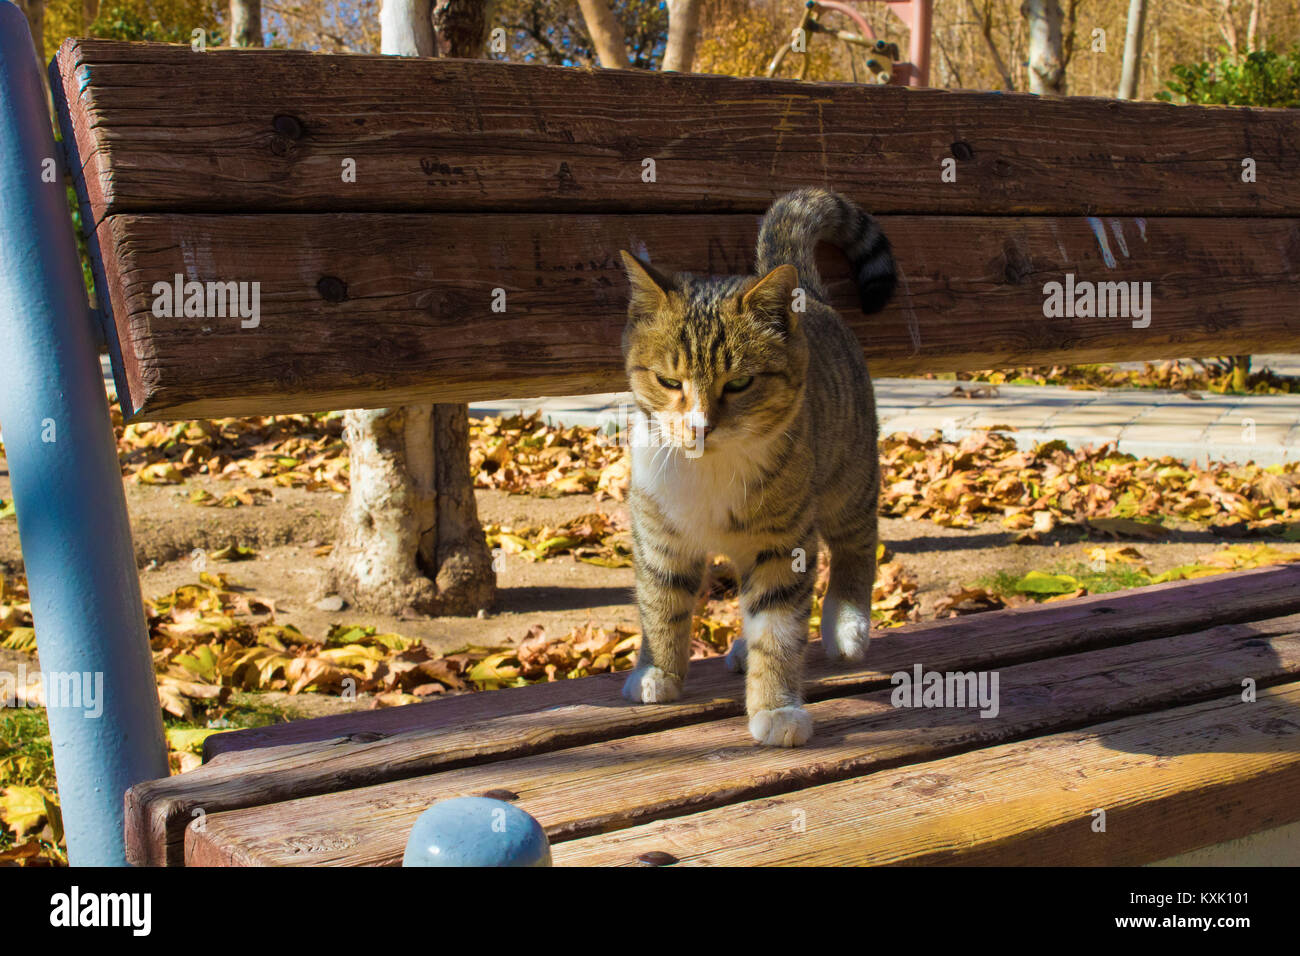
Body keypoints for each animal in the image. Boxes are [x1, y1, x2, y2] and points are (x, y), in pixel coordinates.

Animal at [616, 188, 899, 749]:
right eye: (668, 380)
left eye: (741, 383)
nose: (700, 427)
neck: (710, 468)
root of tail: (809, 295)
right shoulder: (659, 531)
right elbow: (661, 601)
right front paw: (657, 670)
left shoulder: (783, 543)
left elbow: (779, 628)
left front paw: (776, 706)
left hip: (847, 474)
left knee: (855, 541)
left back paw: (846, 623)